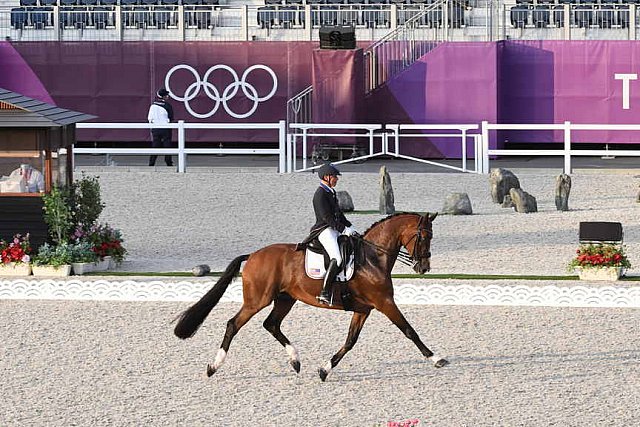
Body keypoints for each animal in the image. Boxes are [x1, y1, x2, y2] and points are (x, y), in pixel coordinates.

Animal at [172, 212, 448, 382]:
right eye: (424, 236)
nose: (424, 268)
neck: (372, 258)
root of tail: (252, 255)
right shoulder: (384, 303)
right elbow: (410, 331)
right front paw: (436, 359)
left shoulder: (364, 309)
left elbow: (350, 341)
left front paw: (324, 370)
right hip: (257, 300)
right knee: (233, 324)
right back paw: (213, 367)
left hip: (285, 299)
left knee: (271, 324)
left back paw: (295, 361)